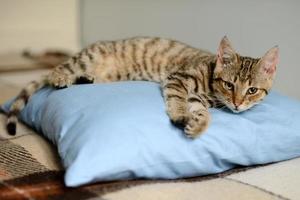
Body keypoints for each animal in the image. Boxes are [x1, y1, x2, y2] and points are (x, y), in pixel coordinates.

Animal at [5, 36, 278, 138]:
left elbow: (202, 111)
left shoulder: (198, 98)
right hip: (88, 58)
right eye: (229, 84)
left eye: (252, 90)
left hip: (107, 76)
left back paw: (85, 80)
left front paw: (198, 124)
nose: (237, 104)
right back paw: (61, 77)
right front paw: (180, 115)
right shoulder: (178, 79)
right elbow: (178, 100)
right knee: (55, 71)